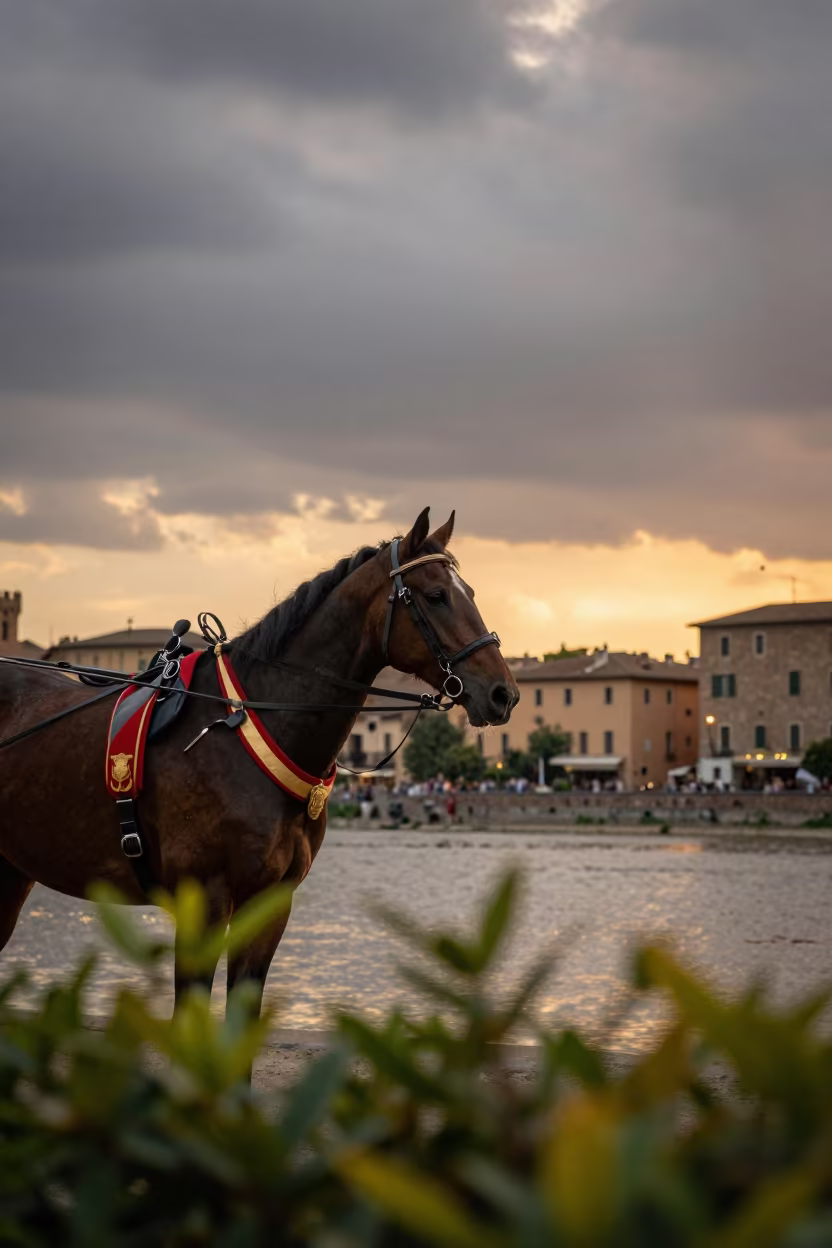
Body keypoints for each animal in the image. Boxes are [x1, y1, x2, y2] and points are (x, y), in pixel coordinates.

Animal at [0, 508, 518, 1020]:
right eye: (436, 596)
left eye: (470, 593)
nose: (503, 692)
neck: (247, 726)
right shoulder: (203, 902)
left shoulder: (269, 906)